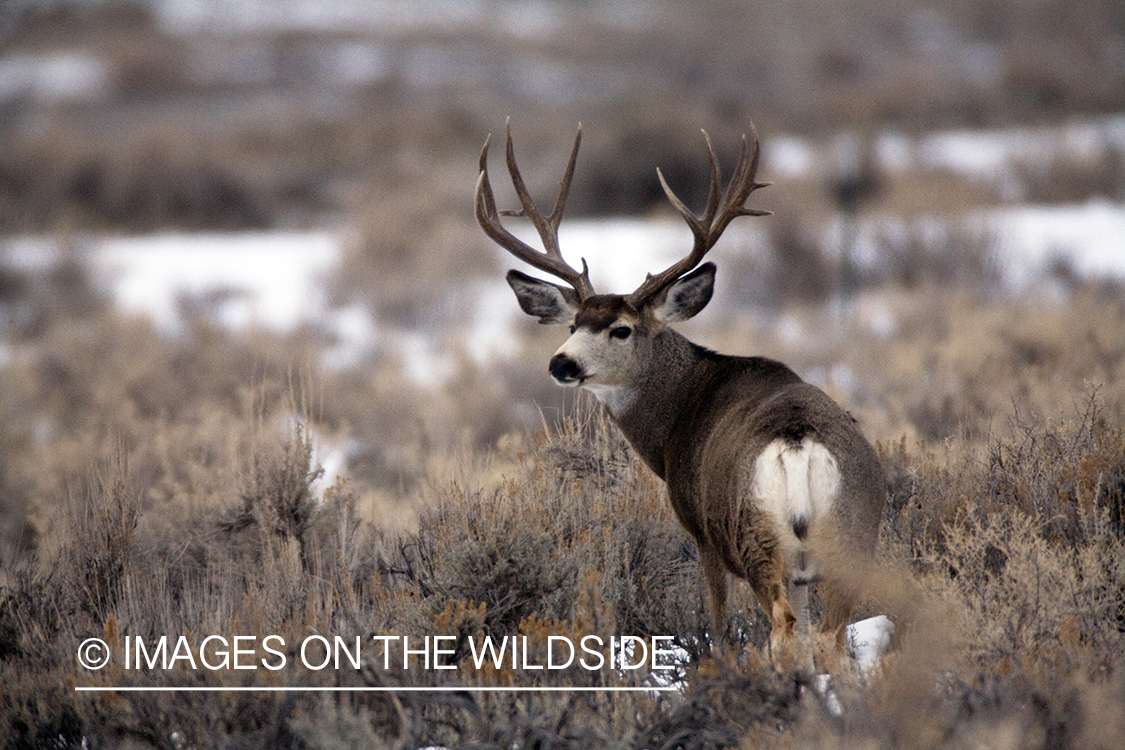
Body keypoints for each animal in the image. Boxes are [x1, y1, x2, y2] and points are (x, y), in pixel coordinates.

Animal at [474, 120, 887, 667]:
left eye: (622, 329)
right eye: (572, 324)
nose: (561, 363)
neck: (678, 417)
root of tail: (798, 444)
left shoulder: (701, 531)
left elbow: (717, 622)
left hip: (753, 538)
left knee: (782, 628)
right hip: (851, 538)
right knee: (828, 637)